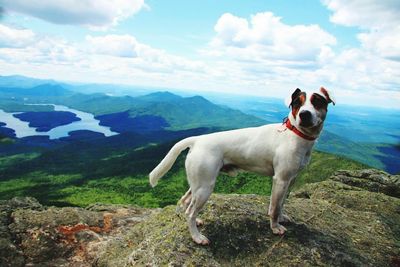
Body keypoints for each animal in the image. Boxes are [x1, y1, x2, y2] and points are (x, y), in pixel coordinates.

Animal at [148, 87, 332, 245]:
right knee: (190, 212)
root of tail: (197, 139)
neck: (295, 133)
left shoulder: (290, 180)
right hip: (205, 187)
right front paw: (275, 227)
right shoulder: (280, 179)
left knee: (186, 201)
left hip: (198, 183)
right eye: (297, 103)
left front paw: (281, 217)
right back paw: (197, 237)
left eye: (317, 101)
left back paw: (197, 221)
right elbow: (274, 208)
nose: (304, 114)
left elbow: (281, 204)